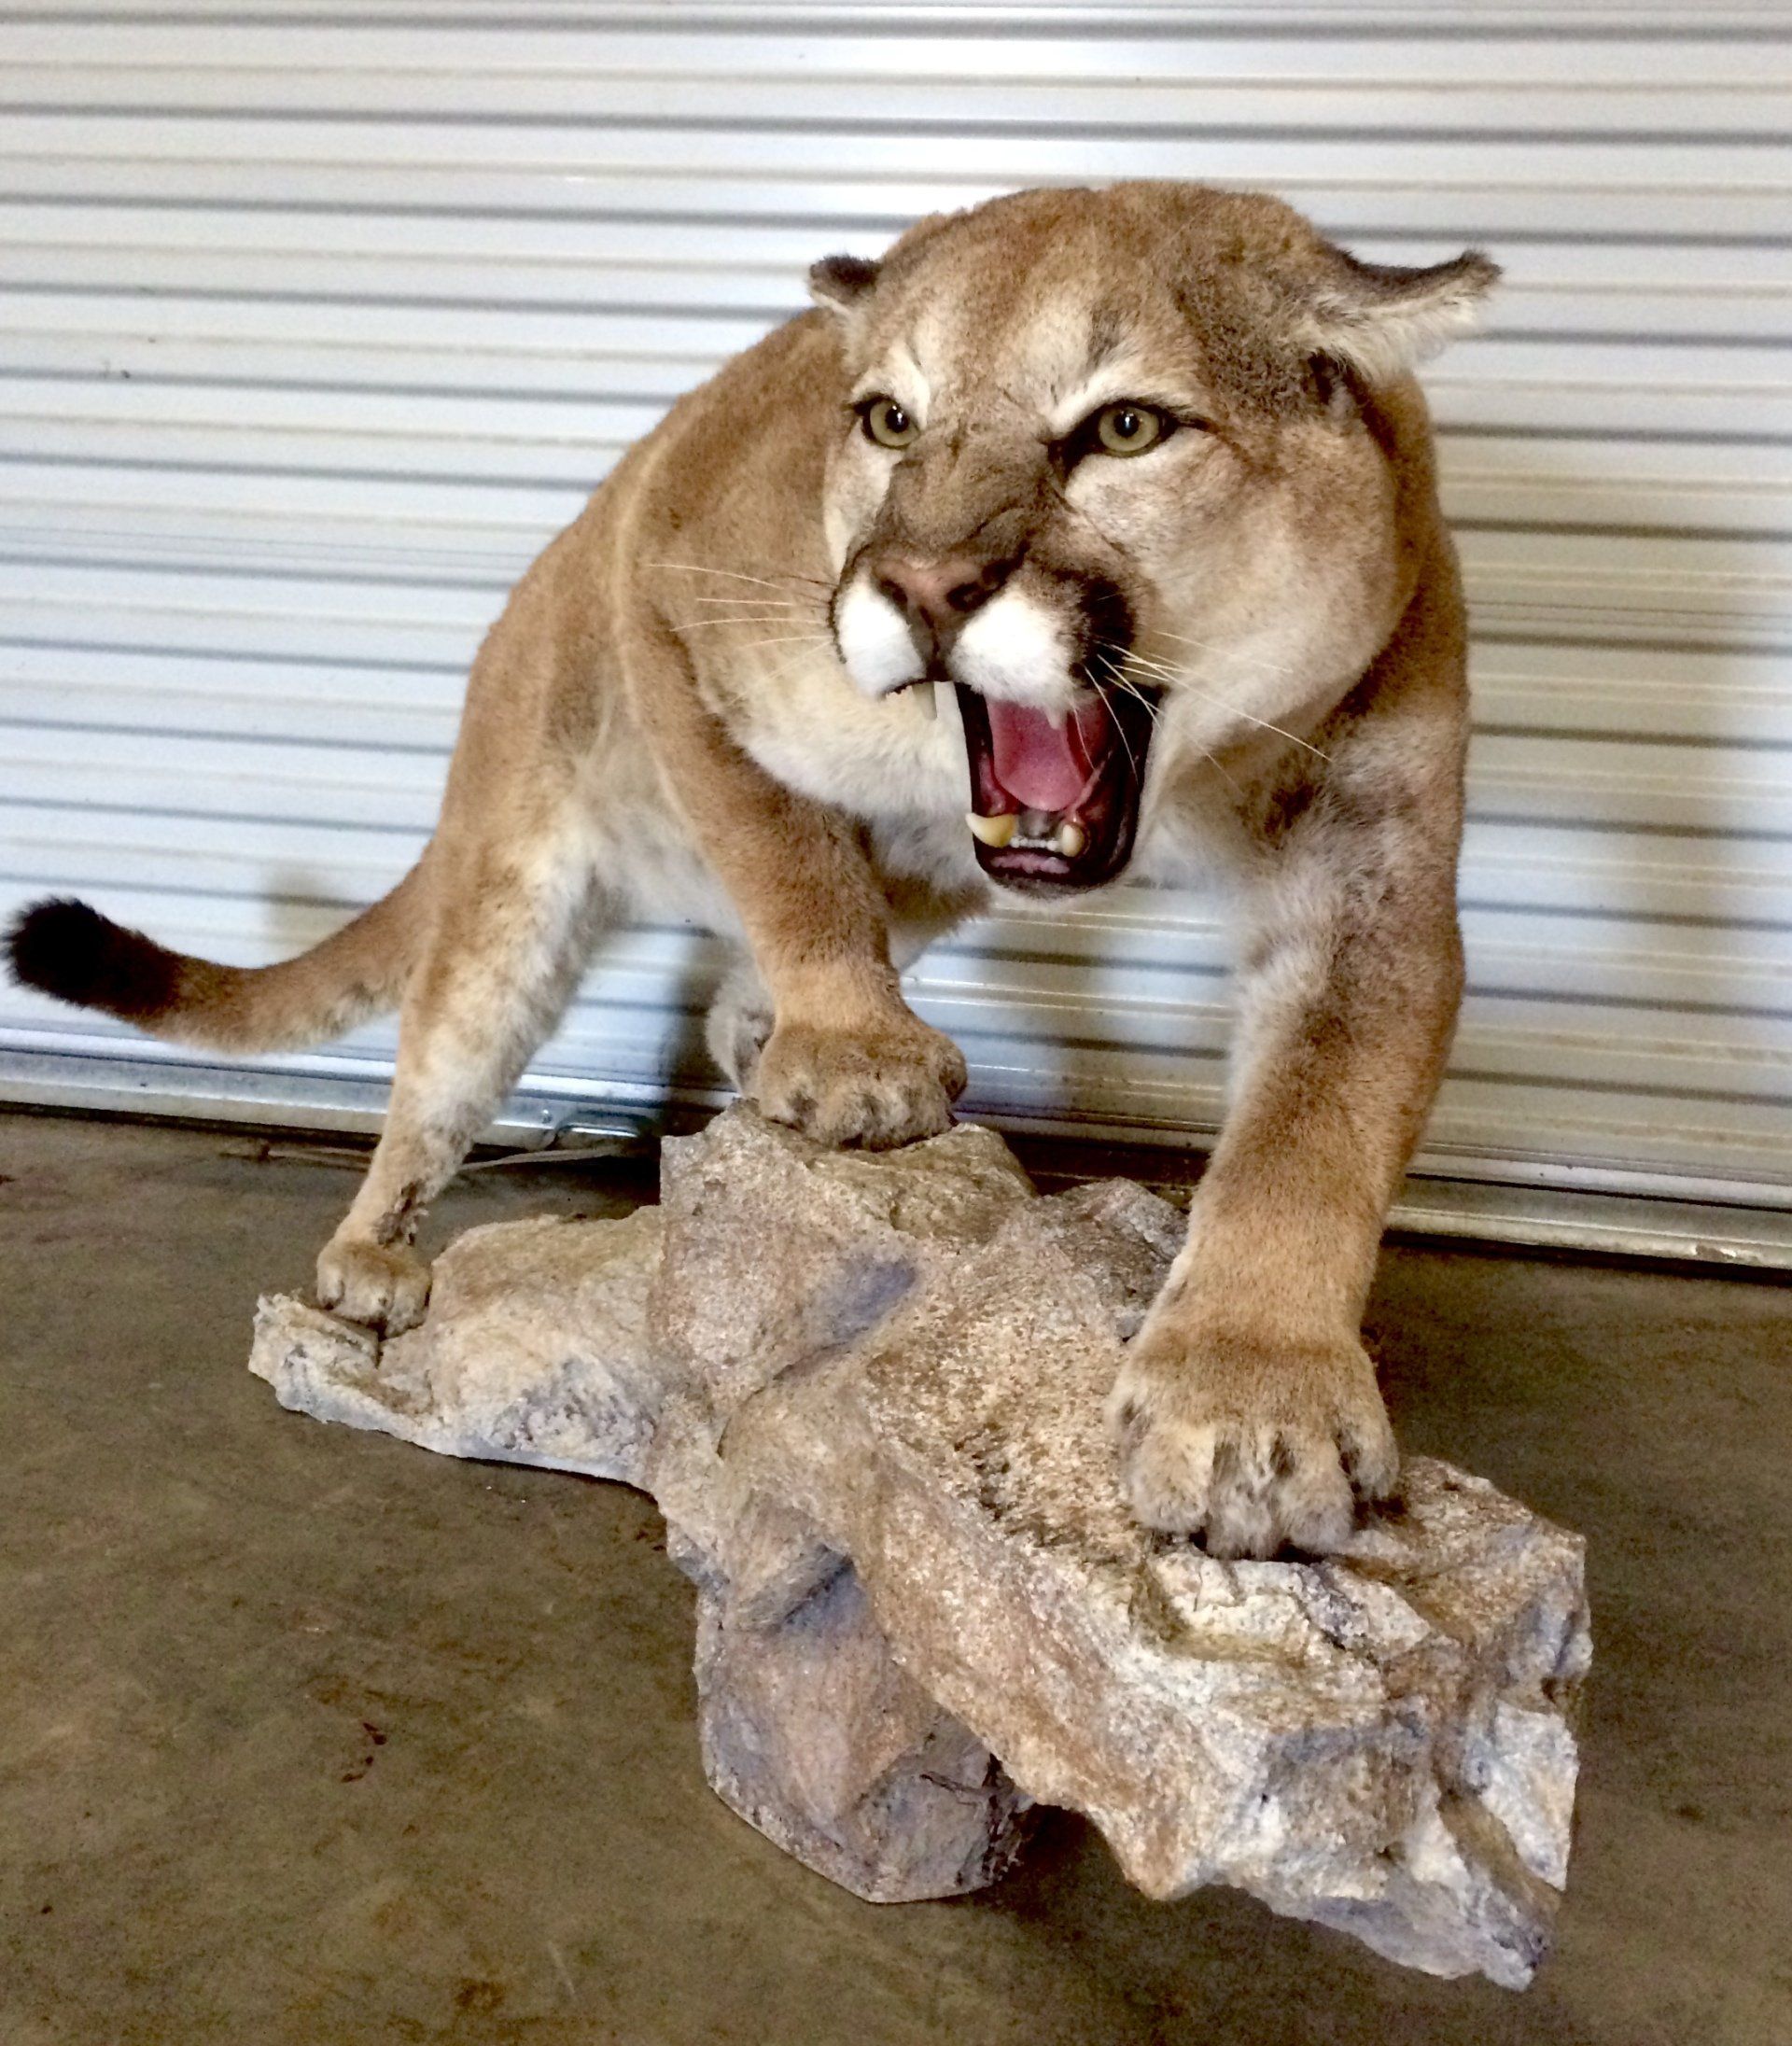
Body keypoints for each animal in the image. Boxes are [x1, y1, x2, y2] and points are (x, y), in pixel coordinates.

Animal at [6, 183, 1497, 1559]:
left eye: (1126, 427)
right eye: (889, 419)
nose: (923, 588)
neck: (1185, 785)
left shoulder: (1377, 867)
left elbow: (1318, 1120)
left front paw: (1252, 1400)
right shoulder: (668, 579)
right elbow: (784, 863)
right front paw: (854, 1056)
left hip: (937, 878)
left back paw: (750, 1037)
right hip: (513, 895)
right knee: (437, 1073)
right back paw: (371, 1257)